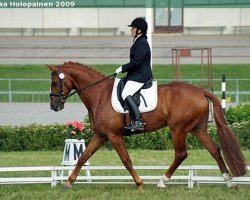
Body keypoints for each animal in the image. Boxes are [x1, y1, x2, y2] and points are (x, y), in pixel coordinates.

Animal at [47, 62, 247, 189]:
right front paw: (68, 182)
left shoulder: (114, 136)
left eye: (55, 82)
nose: (54, 106)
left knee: (181, 154)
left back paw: (162, 181)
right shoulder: (101, 135)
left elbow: (126, 160)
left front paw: (139, 183)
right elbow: (82, 157)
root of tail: (200, 91)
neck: (99, 94)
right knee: (214, 150)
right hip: (197, 129)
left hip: (178, 129)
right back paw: (229, 182)